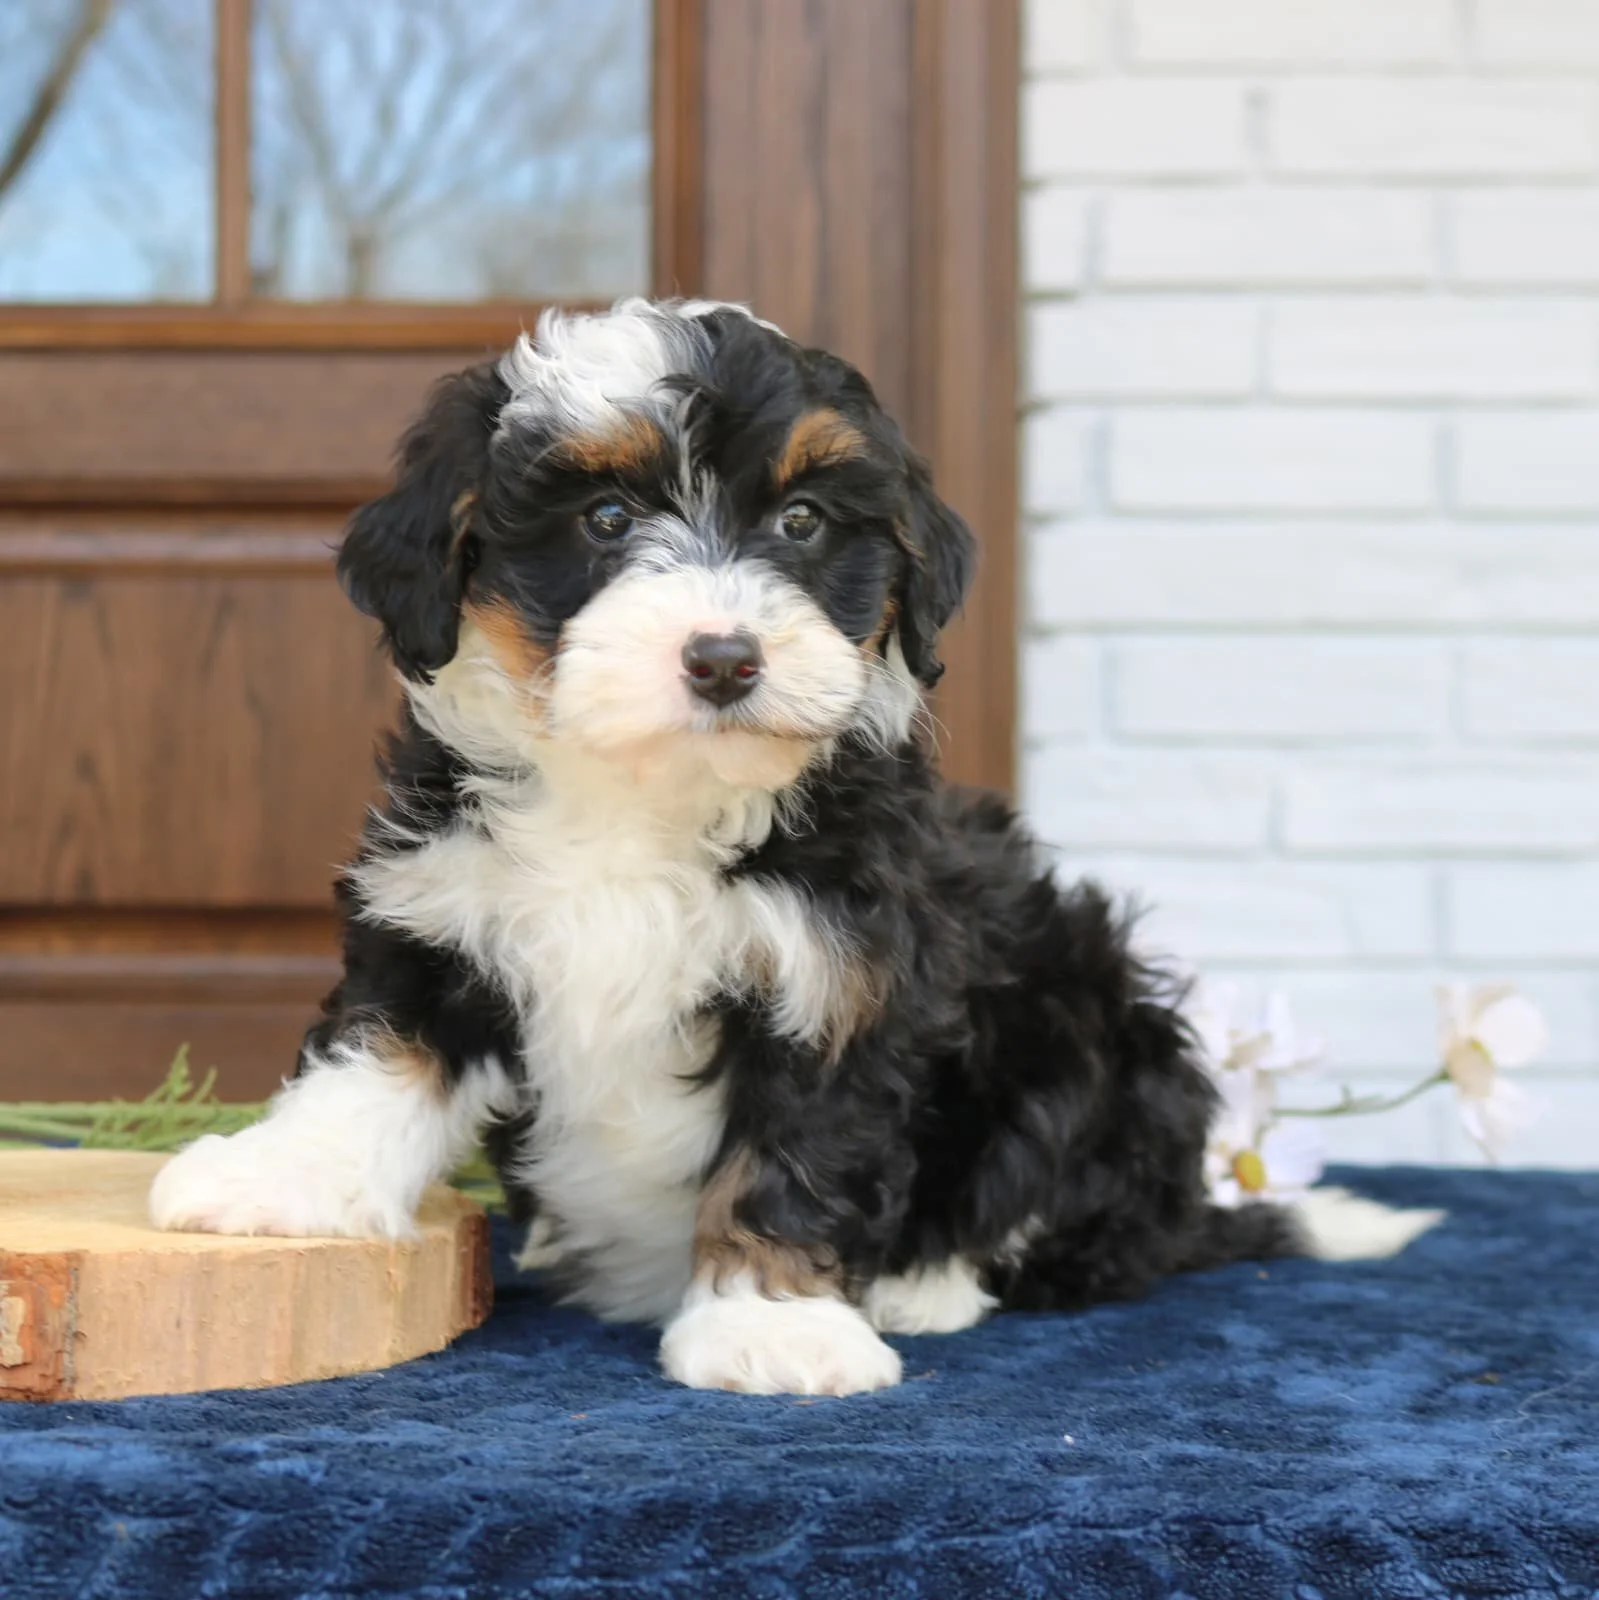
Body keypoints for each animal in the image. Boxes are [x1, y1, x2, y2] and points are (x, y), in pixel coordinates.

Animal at [150, 298, 1438, 1395]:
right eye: (605, 520)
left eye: (803, 521)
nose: (725, 658)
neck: (650, 793)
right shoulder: (443, 911)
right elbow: (376, 1058)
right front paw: (273, 1179)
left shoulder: (845, 976)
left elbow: (802, 1150)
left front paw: (773, 1324)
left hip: (1099, 1021)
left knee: (1070, 1216)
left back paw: (927, 1286)